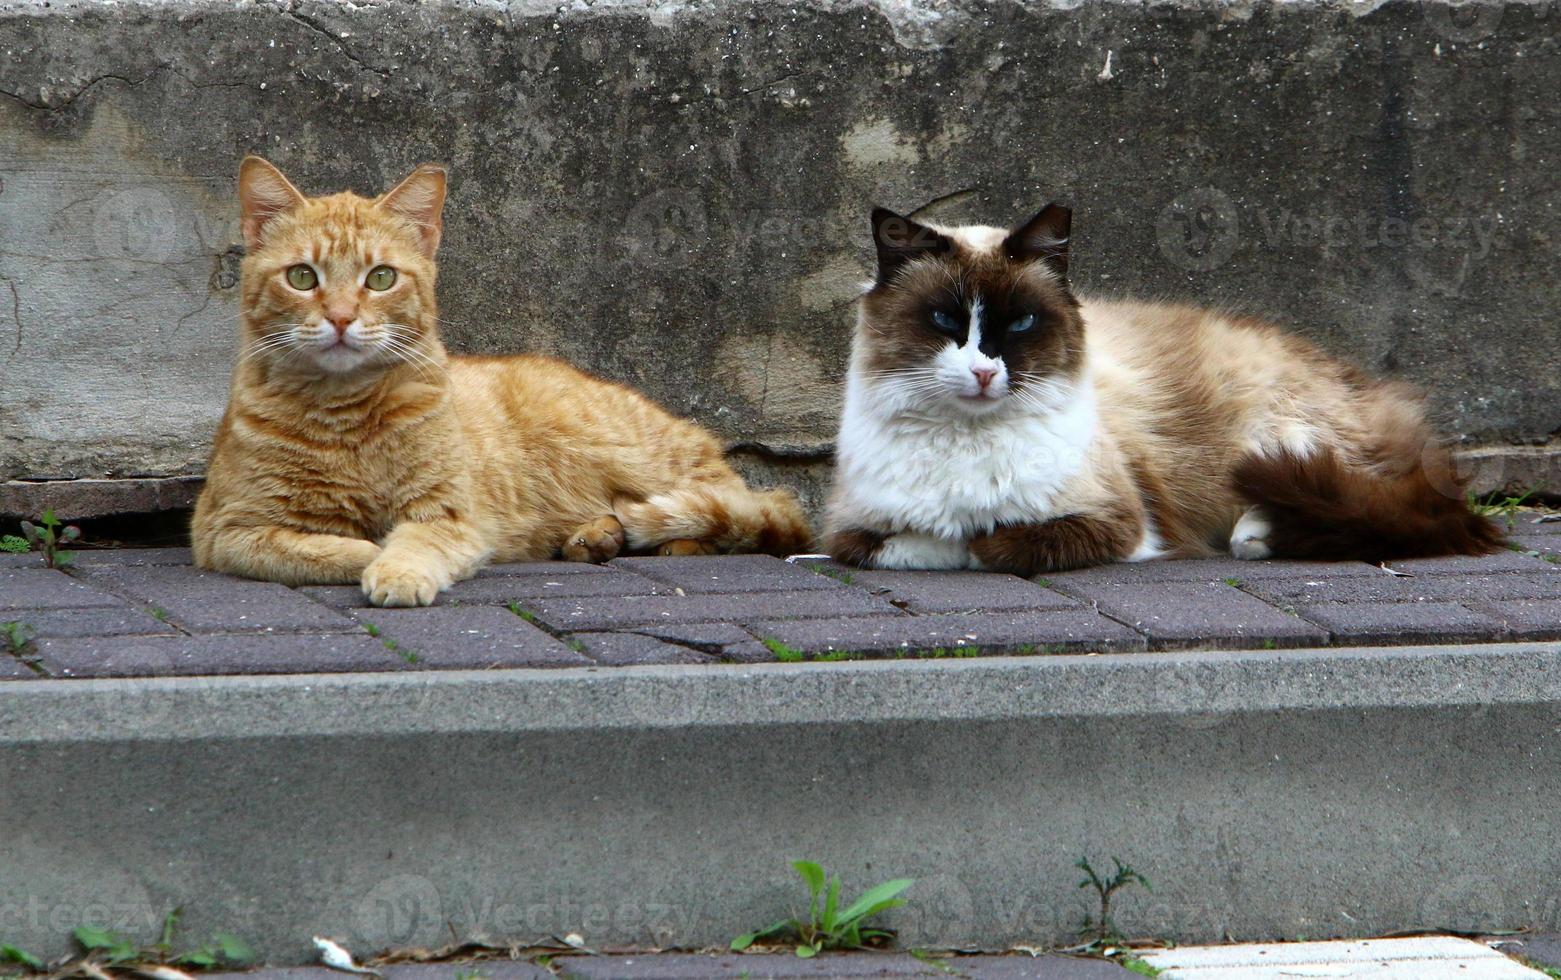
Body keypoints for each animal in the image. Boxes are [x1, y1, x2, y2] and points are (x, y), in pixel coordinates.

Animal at [192, 157, 817, 605]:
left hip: (635, 458)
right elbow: (341, 548)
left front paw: (397, 569)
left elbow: (411, 541)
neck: (343, 414)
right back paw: (598, 535)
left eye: (381, 278)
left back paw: (673, 538)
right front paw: (371, 553)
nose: (343, 318)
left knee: (762, 507)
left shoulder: (450, 514)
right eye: (302, 277)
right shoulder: (230, 531)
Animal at [824, 205, 1492, 574]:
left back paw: (1256, 537)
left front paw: (979, 538)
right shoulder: (851, 535)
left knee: (1354, 494)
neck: (969, 441)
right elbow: (923, 543)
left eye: (1019, 325)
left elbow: (995, 544)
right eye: (944, 321)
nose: (985, 373)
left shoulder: (1122, 524)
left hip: (1272, 436)